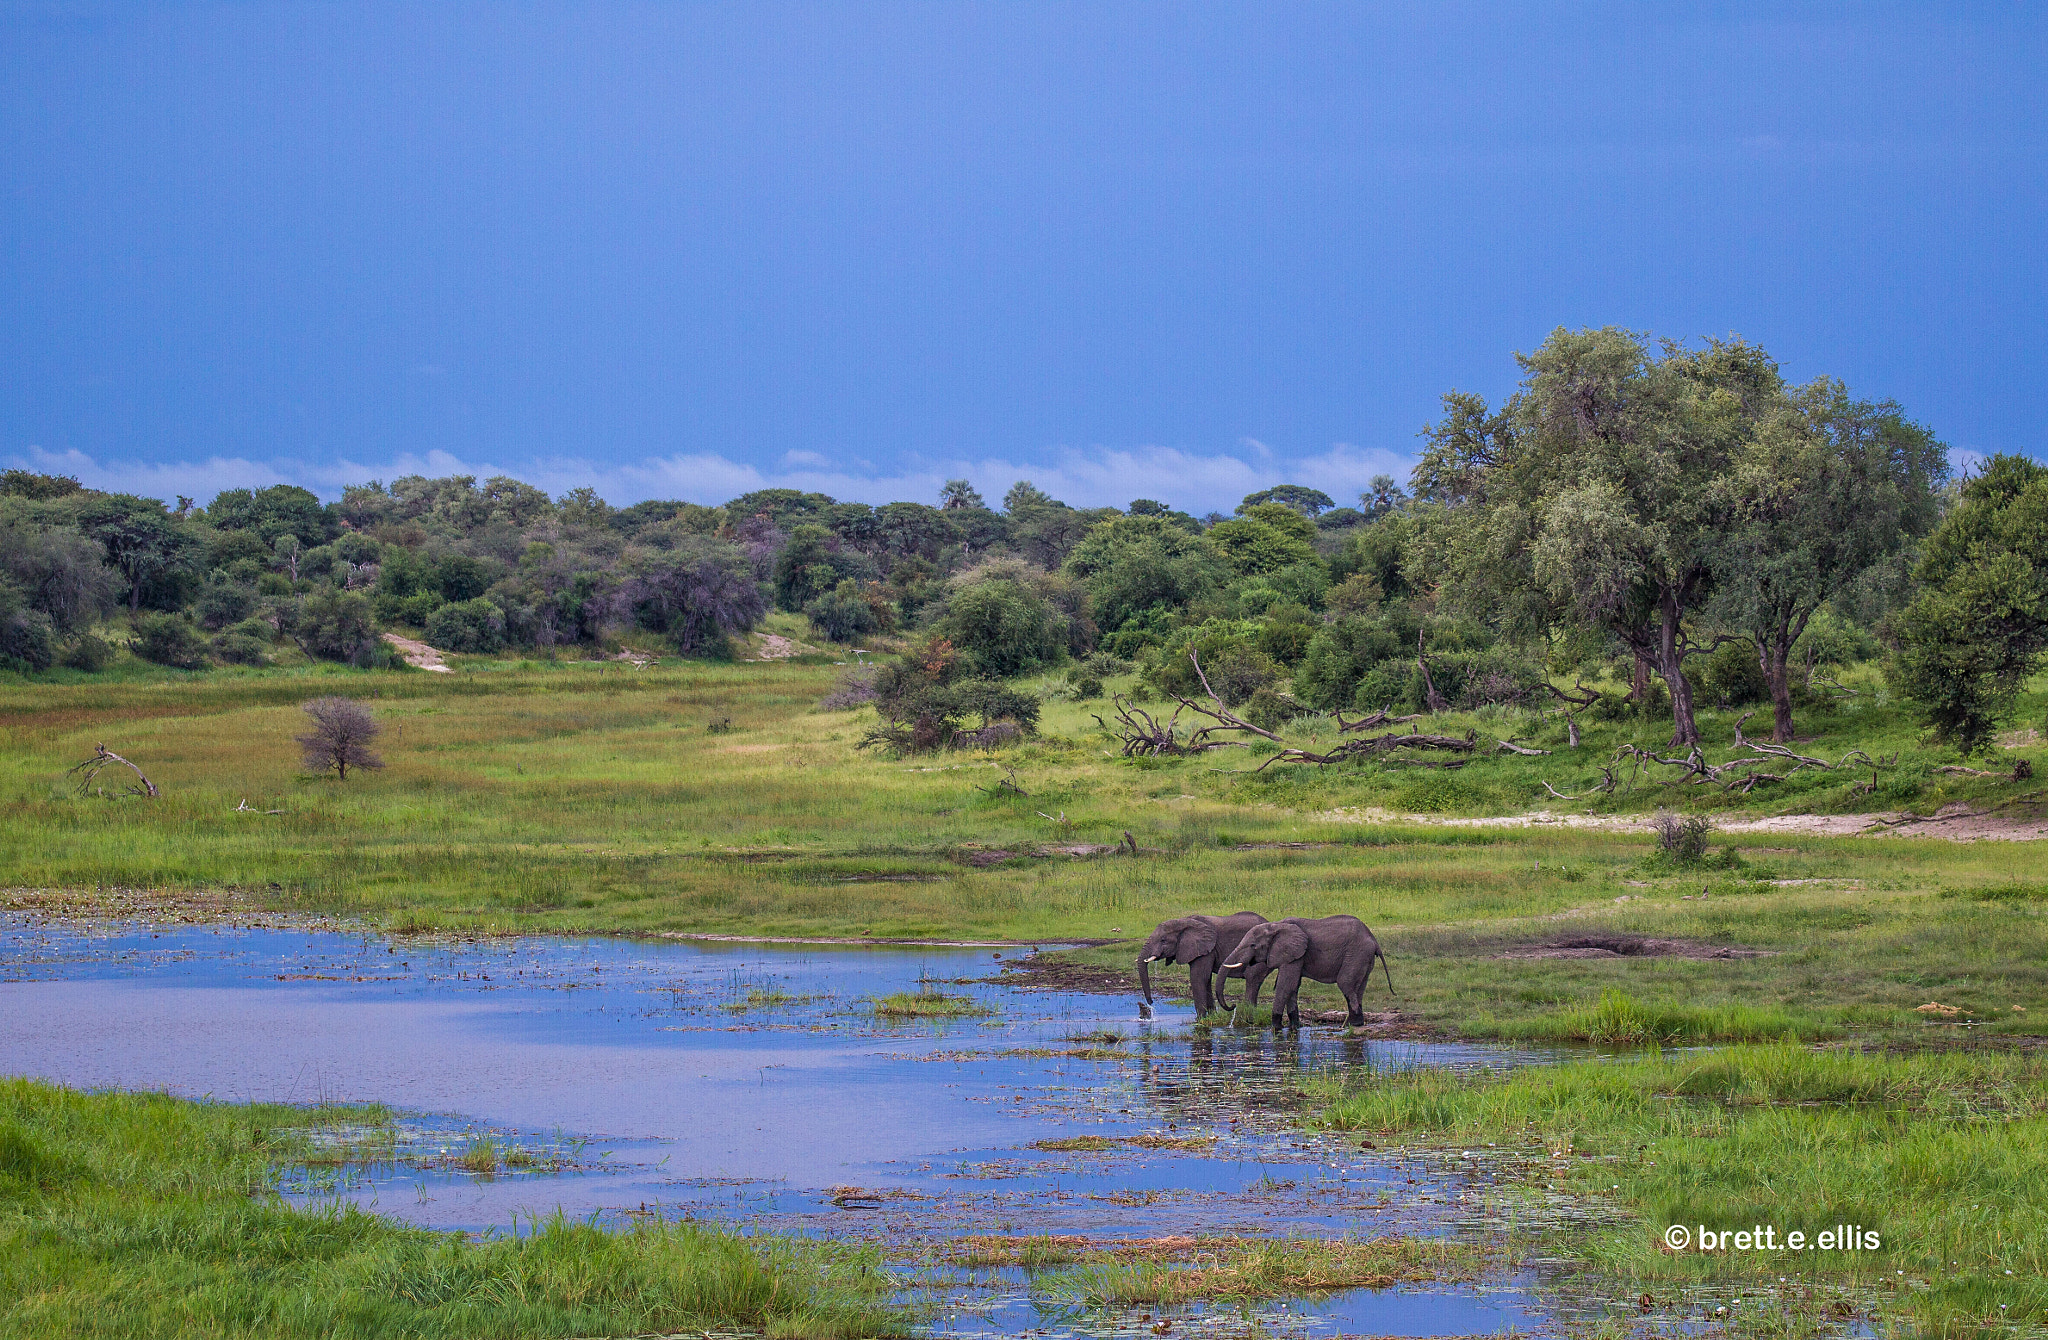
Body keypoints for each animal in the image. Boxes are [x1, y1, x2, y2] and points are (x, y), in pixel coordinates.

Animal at [1220, 917, 1400, 1032]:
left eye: (1253, 945)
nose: (1233, 1005)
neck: (1276, 925)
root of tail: (1374, 940)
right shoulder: (1296, 955)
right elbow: (1293, 986)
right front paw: (1294, 1027)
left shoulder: (1295, 953)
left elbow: (1286, 983)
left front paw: (1275, 1028)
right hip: (1364, 958)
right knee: (1358, 988)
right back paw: (1352, 1024)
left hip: (1357, 954)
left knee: (1346, 984)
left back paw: (1352, 1025)